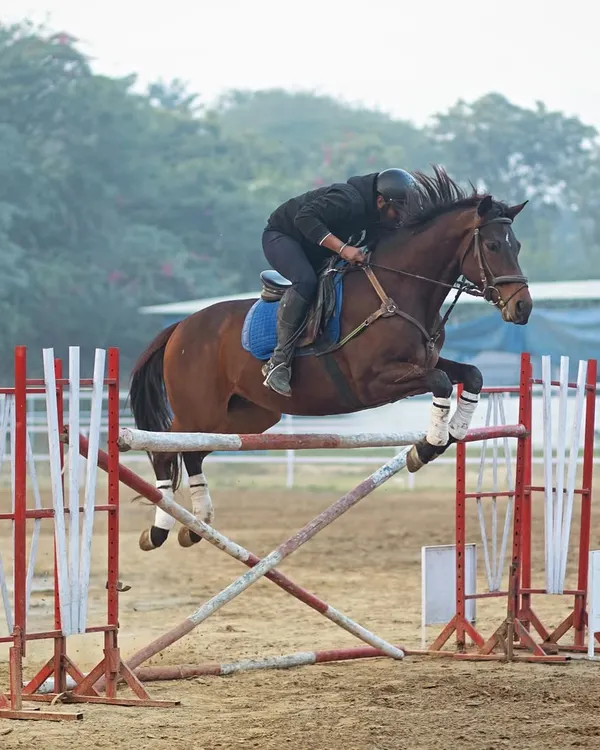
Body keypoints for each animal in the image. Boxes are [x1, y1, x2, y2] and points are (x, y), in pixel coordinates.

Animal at [129, 166, 532, 551]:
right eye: (492, 245)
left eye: (517, 245)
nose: (523, 308)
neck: (401, 289)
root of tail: (180, 326)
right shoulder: (374, 380)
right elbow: (441, 382)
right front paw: (427, 447)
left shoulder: (424, 361)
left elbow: (472, 375)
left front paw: (456, 430)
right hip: (199, 409)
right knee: (165, 447)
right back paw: (159, 531)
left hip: (244, 417)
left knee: (193, 452)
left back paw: (196, 525)